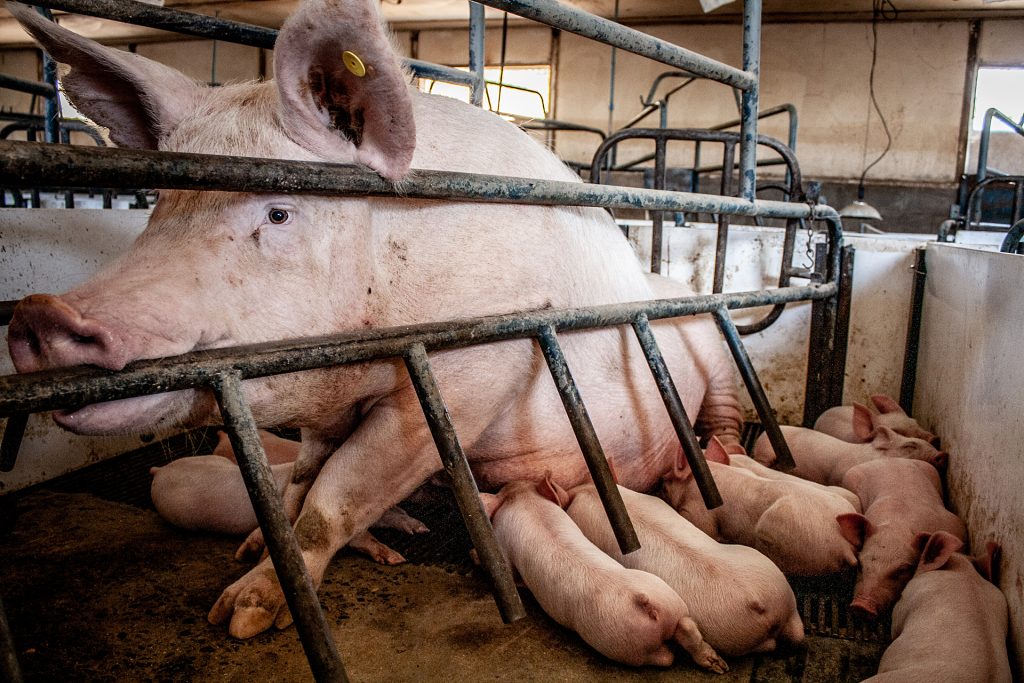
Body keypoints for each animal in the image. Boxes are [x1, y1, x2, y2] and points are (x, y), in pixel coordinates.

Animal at [480, 477, 727, 672]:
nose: (508, 482)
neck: (525, 502)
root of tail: (644, 602)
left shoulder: (503, 546)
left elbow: (510, 573)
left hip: (619, 643)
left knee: (665, 658)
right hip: (670, 600)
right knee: (686, 627)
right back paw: (718, 665)